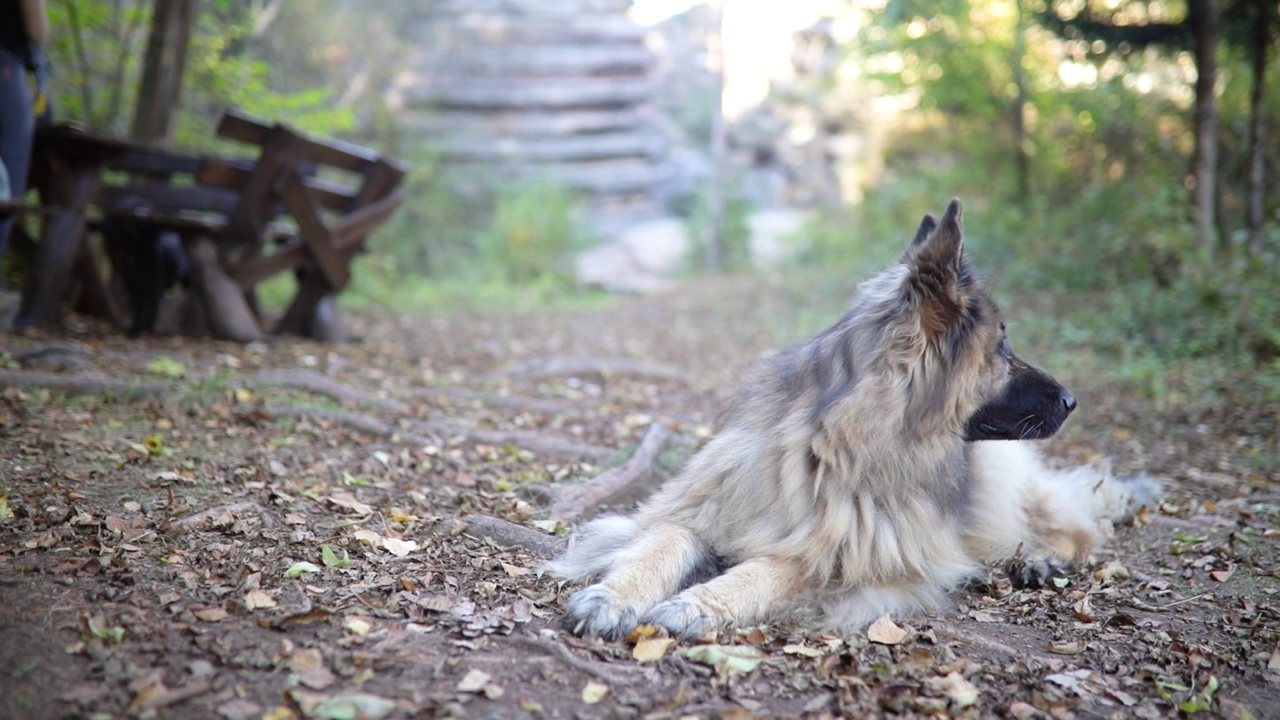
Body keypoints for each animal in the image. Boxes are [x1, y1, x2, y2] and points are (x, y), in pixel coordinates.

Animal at [550, 198, 1162, 635]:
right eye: (1004, 345)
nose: (1072, 401)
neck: (829, 444)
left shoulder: (848, 561)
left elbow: (774, 567)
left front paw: (698, 604)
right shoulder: (695, 509)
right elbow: (661, 543)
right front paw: (613, 596)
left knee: (1077, 524)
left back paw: (1040, 558)